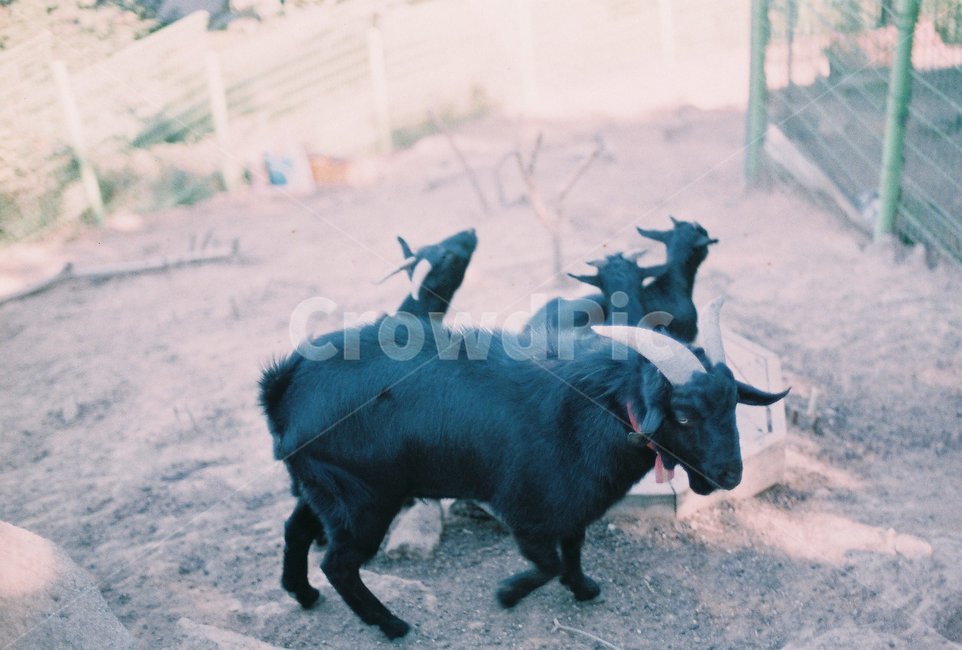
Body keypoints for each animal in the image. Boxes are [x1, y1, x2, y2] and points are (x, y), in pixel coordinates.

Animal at [259, 299, 787, 639]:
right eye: (684, 415)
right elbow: (547, 560)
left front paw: (584, 588)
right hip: (364, 499)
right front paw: (508, 595)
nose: (730, 475)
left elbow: (572, 548)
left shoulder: (572, 503)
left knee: (296, 529)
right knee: (339, 563)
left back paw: (303, 595)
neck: (595, 410)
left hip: (325, 489)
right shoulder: (526, 508)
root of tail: (286, 388)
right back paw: (392, 625)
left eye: (733, 403)